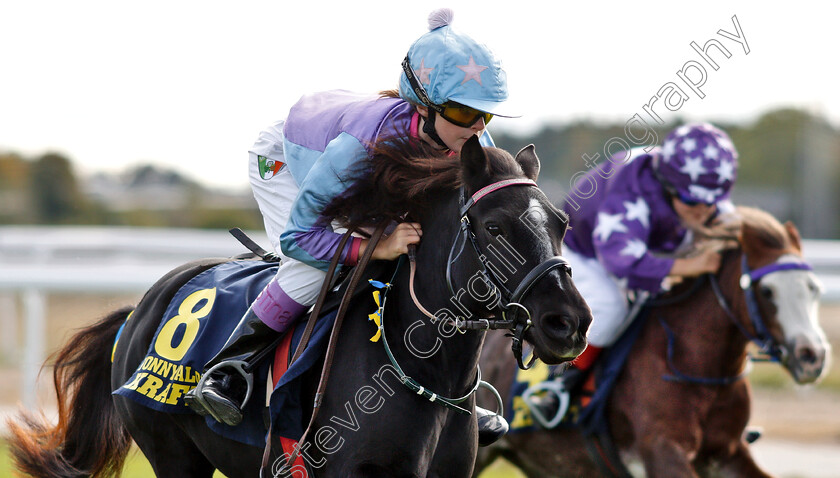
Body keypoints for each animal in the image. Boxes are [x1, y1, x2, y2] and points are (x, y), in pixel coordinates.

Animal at [9, 136, 592, 476]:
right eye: (494, 228)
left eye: (562, 223)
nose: (569, 323)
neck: (423, 373)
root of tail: (140, 308)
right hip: (171, 452)